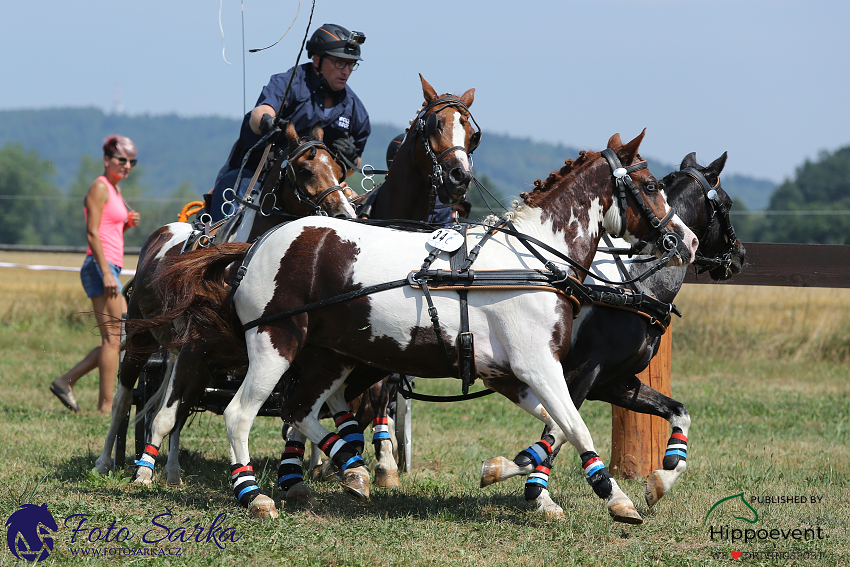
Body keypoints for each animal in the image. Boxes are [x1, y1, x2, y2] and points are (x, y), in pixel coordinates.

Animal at [94, 123, 352, 484]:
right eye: (305, 169)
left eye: (339, 169)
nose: (346, 213)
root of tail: (161, 233)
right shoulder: (194, 348)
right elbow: (163, 415)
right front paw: (143, 472)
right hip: (140, 340)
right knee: (124, 398)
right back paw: (106, 460)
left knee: (179, 406)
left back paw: (172, 469)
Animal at [137, 131, 696, 520]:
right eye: (651, 186)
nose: (686, 243)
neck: (532, 260)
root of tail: (255, 246)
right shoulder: (540, 366)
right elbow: (576, 427)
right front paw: (617, 499)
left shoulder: (514, 374)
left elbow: (556, 429)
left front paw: (517, 478)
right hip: (275, 346)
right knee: (234, 413)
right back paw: (251, 493)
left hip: (329, 355)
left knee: (298, 410)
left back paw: (350, 465)